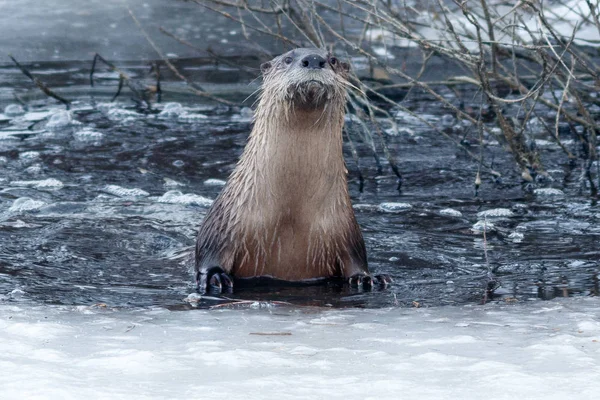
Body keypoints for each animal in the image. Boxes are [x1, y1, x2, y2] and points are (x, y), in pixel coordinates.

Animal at [197, 48, 392, 294]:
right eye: (288, 58)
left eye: (333, 60)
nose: (314, 60)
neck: (291, 211)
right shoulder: (223, 227)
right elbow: (209, 258)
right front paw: (215, 276)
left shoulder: (347, 233)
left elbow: (356, 261)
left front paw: (366, 278)